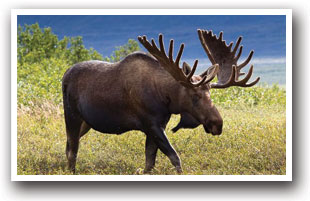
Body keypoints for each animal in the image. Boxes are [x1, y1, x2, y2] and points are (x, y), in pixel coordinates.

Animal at [61, 29, 260, 174]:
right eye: (195, 96)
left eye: (210, 94)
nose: (217, 124)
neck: (166, 97)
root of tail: (64, 75)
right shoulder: (151, 124)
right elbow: (174, 157)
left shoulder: (159, 125)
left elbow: (150, 161)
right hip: (72, 116)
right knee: (72, 149)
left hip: (86, 123)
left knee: (69, 145)